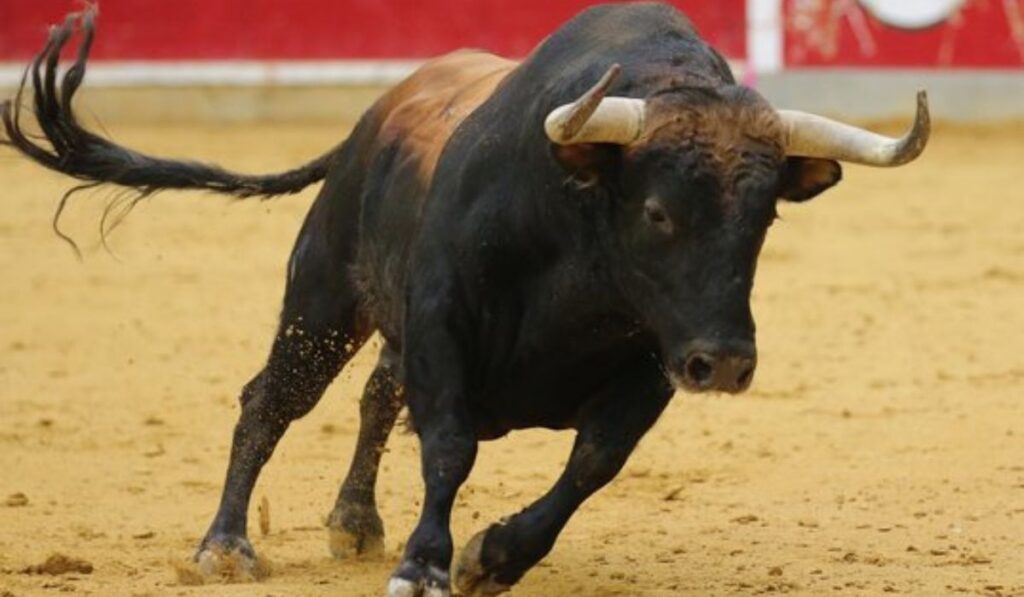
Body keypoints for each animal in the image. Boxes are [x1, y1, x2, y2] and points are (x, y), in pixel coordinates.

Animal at [1, 4, 929, 596]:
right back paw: (226, 545)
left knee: (376, 395)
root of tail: (367, 123)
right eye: (659, 212)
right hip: (322, 299)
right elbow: (448, 447)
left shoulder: (652, 358)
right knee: (271, 400)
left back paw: (354, 519)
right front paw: (423, 566)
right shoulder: (445, 324)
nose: (726, 363)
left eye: (764, 215)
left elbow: (592, 463)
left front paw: (494, 556)